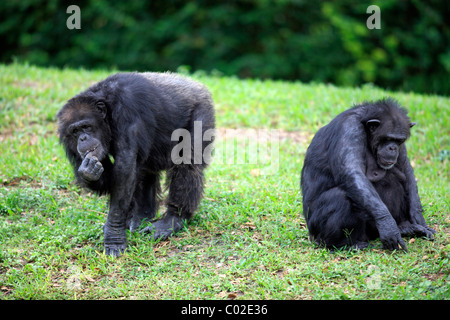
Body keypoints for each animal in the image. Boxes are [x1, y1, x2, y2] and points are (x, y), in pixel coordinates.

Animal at [57, 71, 215, 256]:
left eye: (86, 126)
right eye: (75, 131)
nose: (82, 138)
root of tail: (197, 85)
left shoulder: (126, 110)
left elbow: (124, 169)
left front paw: (114, 234)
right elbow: (113, 178)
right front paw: (88, 172)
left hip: (201, 111)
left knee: (187, 163)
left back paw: (172, 220)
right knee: (144, 170)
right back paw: (141, 216)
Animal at [300, 99, 434, 251]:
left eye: (398, 141)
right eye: (387, 138)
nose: (392, 148)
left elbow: (406, 169)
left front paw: (418, 216)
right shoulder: (350, 129)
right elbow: (352, 172)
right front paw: (387, 224)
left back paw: (406, 228)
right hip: (316, 228)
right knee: (339, 196)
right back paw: (341, 245)